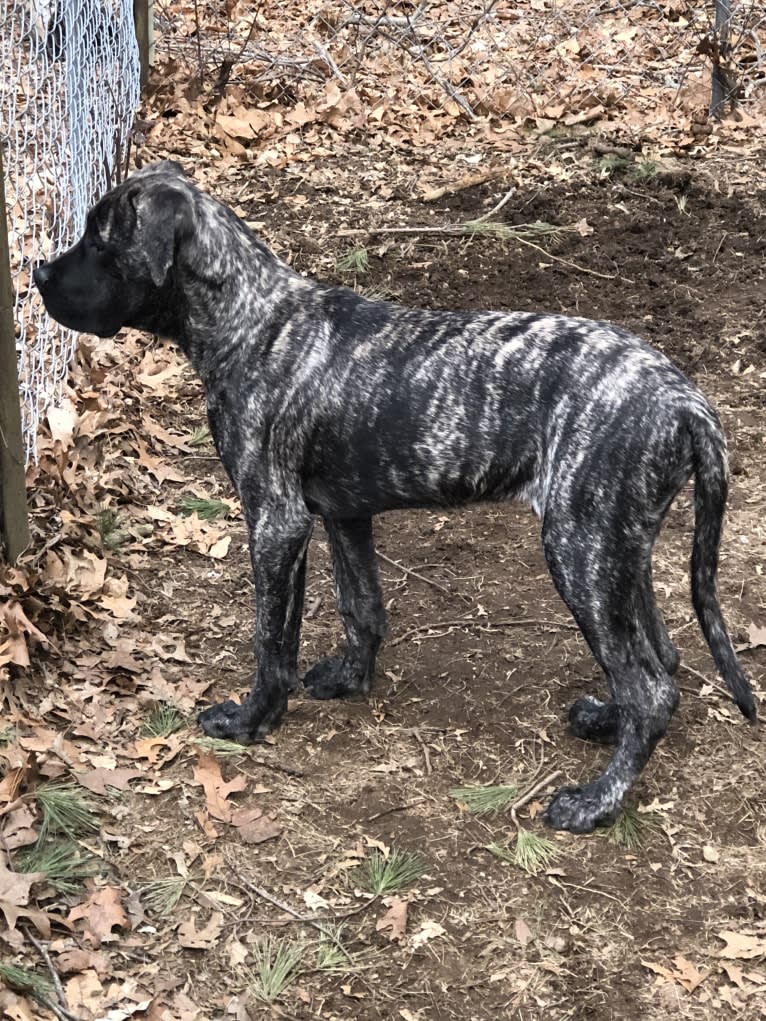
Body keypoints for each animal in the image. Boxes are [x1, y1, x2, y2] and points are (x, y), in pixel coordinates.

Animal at [34, 159, 755, 829]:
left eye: (100, 240)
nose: (40, 276)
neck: (251, 319)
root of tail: (685, 400)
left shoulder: (275, 521)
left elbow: (273, 640)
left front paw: (253, 720)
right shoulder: (344, 516)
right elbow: (362, 605)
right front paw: (349, 679)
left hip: (580, 550)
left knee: (650, 687)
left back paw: (596, 801)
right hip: (621, 548)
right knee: (660, 659)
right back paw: (606, 719)